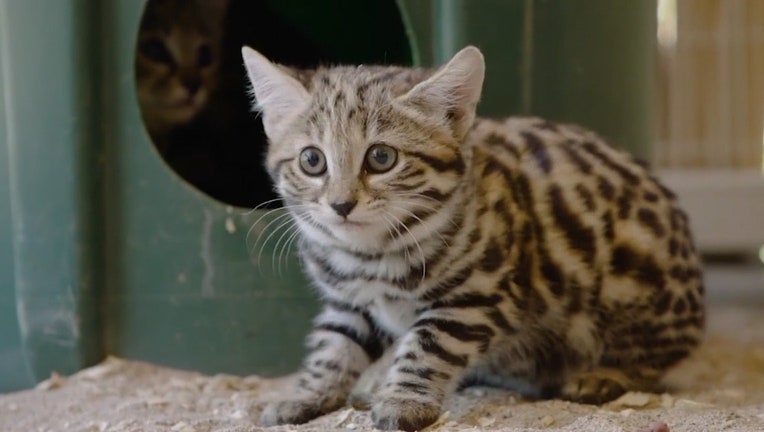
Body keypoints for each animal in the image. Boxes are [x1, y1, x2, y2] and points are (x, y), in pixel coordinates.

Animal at [242, 45, 700, 430]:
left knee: (656, 361)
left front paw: (404, 400)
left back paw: (603, 375)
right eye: (312, 160)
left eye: (381, 157)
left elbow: (428, 347)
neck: (371, 255)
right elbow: (333, 346)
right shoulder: (350, 304)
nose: (341, 205)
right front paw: (308, 394)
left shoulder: (479, 297)